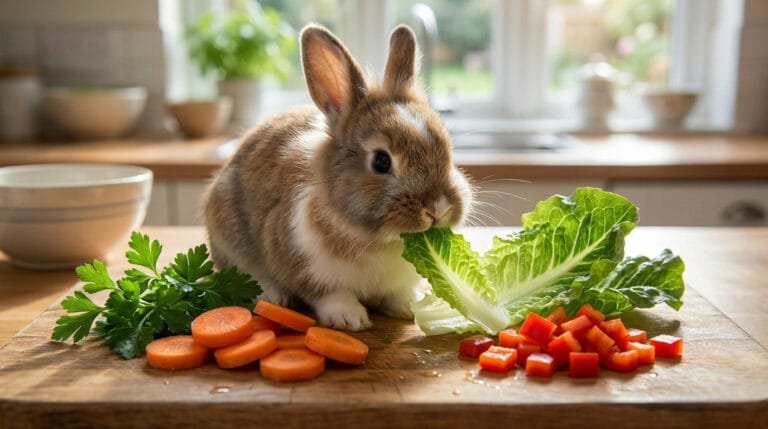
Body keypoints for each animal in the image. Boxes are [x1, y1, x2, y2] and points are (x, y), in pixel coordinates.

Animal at [204, 24, 473, 331]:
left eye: (448, 148)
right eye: (381, 161)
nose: (437, 209)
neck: (379, 240)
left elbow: (397, 294)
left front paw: (409, 307)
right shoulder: (308, 266)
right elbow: (330, 295)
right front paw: (350, 319)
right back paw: (274, 297)